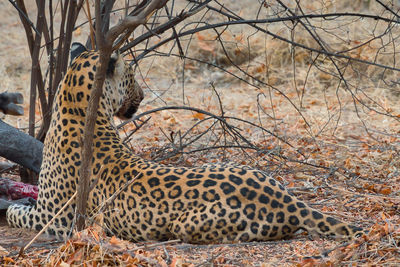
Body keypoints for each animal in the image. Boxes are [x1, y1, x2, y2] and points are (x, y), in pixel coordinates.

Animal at [6, 42, 364, 245]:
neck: (77, 103)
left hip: (188, 223)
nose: (143, 95)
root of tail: (289, 202)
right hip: (239, 166)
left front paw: (14, 203)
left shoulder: (54, 219)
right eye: (132, 77)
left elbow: (14, 213)